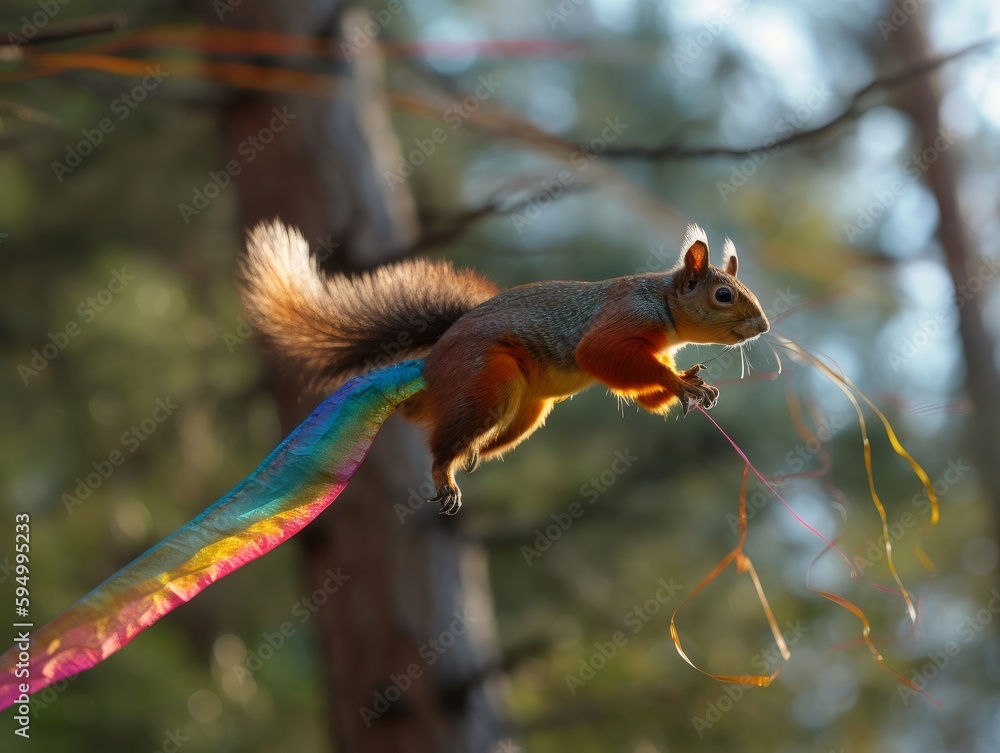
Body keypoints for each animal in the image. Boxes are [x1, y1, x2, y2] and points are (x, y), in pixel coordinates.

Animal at [240, 222, 770, 514]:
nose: (763, 325)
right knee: (441, 444)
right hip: (488, 382)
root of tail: (429, 366)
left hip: (526, 411)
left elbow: (641, 392)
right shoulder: (618, 322)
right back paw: (445, 473)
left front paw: (690, 382)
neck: (661, 302)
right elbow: (601, 356)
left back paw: (471, 455)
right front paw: (680, 383)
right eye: (723, 294)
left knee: (473, 437)